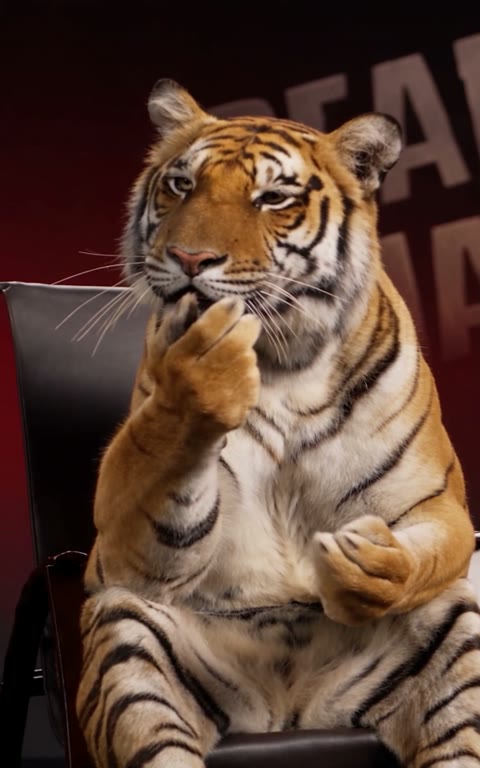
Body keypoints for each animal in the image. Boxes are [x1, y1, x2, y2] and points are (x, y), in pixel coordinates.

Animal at [76, 79, 480, 768]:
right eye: (181, 185)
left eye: (273, 198)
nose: (189, 258)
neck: (282, 362)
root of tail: (291, 712)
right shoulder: (120, 551)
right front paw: (205, 369)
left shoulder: (433, 504)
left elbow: (422, 555)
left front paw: (360, 565)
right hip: (128, 638)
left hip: (456, 635)